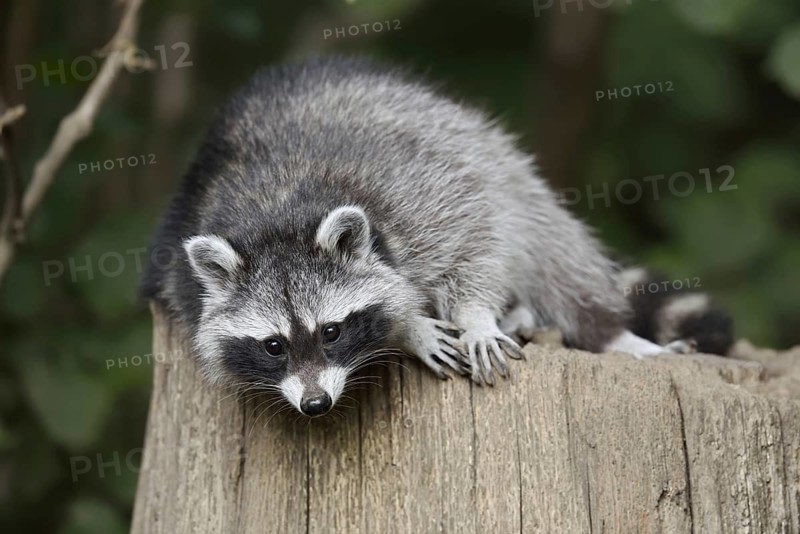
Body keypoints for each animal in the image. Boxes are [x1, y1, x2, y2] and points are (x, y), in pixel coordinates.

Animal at [142, 57, 699, 417]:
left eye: (331, 331)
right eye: (274, 345)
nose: (316, 404)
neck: (273, 216)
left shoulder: (413, 192)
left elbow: (475, 237)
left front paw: (473, 317)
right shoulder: (181, 270)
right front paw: (410, 327)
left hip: (489, 151)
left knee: (547, 241)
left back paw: (607, 332)